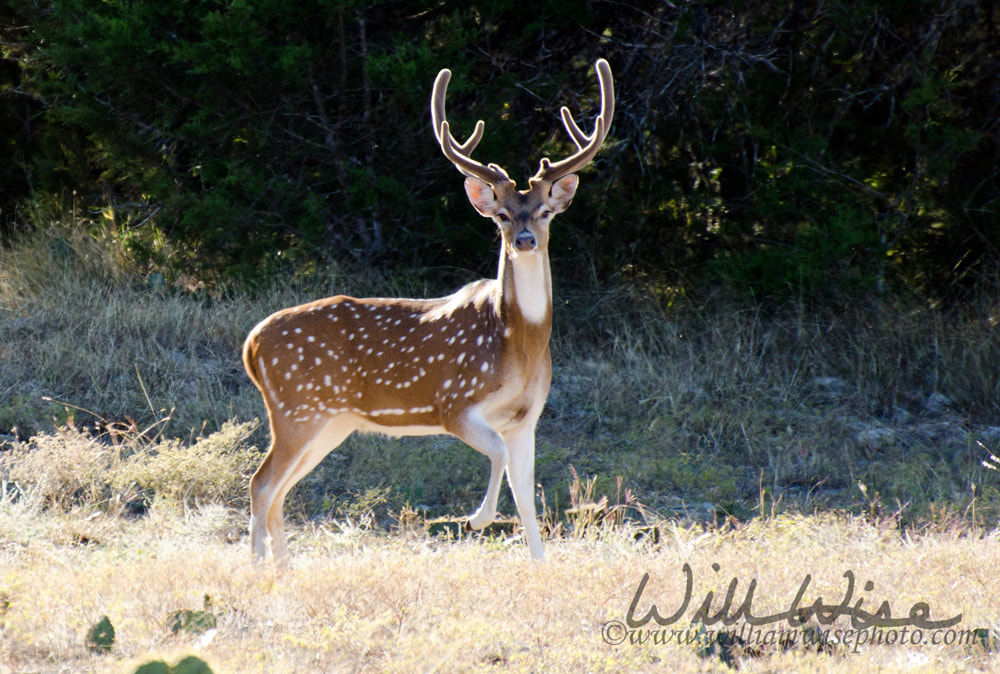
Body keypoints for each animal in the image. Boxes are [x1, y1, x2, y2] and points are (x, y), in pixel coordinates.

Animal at [246, 59, 612, 560]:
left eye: (544, 211)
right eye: (501, 215)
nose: (523, 241)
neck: (517, 342)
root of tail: (251, 343)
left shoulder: (527, 417)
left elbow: (527, 498)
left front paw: (538, 563)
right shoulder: (454, 403)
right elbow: (498, 456)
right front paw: (477, 518)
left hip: (329, 421)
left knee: (281, 490)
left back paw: (282, 567)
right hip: (296, 410)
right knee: (261, 483)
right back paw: (258, 568)